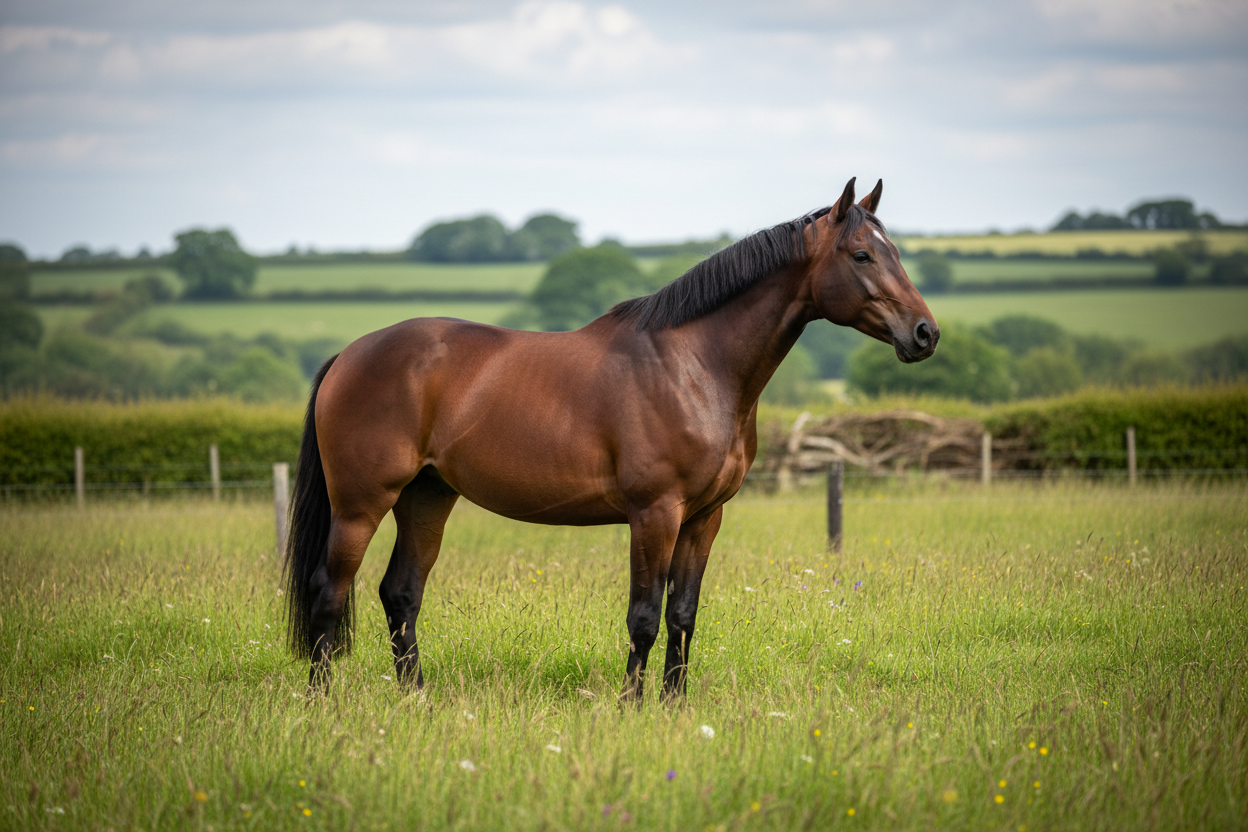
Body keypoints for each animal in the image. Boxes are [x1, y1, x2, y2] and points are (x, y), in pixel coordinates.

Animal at [283, 177, 938, 701]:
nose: (925, 334)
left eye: (895, 252)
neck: (694, 366)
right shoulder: (655, 513)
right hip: (361, 505)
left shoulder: (704, 518)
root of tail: (350, 354)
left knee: (401, 594)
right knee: (328, 594)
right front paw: (631, 706)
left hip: (427, 497)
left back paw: (415, 698)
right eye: (861, 254)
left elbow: (683, 615)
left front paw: (673, 706)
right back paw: (322, 702)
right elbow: (643, 616)